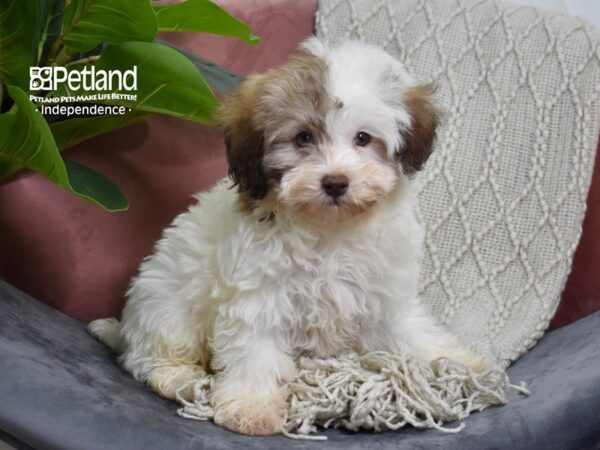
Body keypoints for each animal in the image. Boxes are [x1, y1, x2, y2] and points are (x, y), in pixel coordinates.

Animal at [90, 37, 492, 436]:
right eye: (303, 138)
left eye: (363, 138)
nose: (335, 181)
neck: (330, 229)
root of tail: (127, 328)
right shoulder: (260, 297)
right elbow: (255, 351)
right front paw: (251, 407)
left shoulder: (383, 295)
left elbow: (409, 331)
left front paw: (460, 362)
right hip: (167, 308)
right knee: (149, 358)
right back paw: (180, 378)